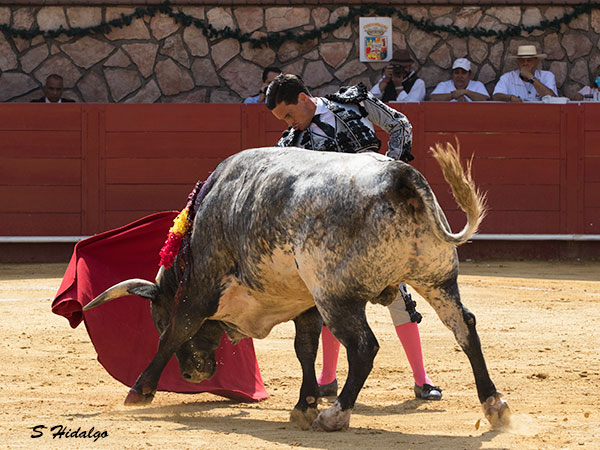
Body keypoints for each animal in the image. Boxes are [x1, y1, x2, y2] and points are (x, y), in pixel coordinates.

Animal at [84, 142, 510, 430]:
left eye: (155, 317)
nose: (194, 376)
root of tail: (399, 177)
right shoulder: (305, 303)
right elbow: (305, 347)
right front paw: (304, 405)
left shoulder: (200, 288)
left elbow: (176, 331)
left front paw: (139, 391)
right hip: (437, 279)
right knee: (464, 327)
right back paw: (494, 405)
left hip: (337, 296)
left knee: (364, 347)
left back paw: (336, 414)